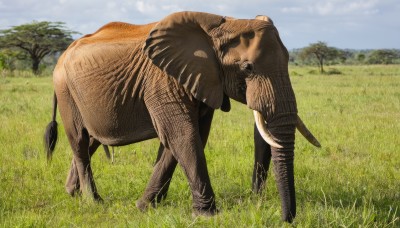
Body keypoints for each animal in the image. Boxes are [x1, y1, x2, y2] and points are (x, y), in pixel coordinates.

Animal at [43, 11, 320, 223]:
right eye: (247, 68)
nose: (284, 219)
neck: (225, 25)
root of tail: (61, 55)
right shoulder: (163, 80)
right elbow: (182, 135)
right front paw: (207, 215)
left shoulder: (201, 80)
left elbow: (186, 138)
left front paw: (146, 206)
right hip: (66, 91)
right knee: (79, 140)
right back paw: (94, 201)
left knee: (91, 140)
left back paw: (72, 193)